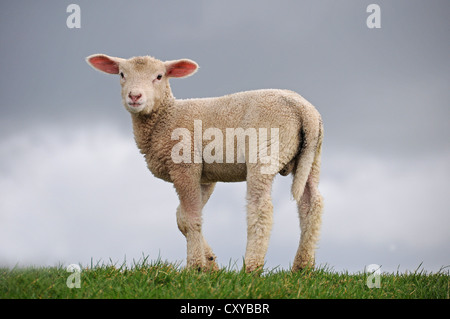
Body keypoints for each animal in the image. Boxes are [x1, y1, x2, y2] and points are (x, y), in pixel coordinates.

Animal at [85, 53, 324, 272]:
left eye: (159, 76)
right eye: (122, 74)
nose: (134, 96)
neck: (165, 117)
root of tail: (303, 109)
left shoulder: (185, 164)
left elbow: (191, 218)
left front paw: (195, 266)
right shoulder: (205, 176)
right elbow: (182, 217)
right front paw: (210, 263)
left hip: (265, 151)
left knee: (261, 207)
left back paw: (252, 267)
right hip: (311, 156)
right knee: (311, 204)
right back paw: (303, 267)